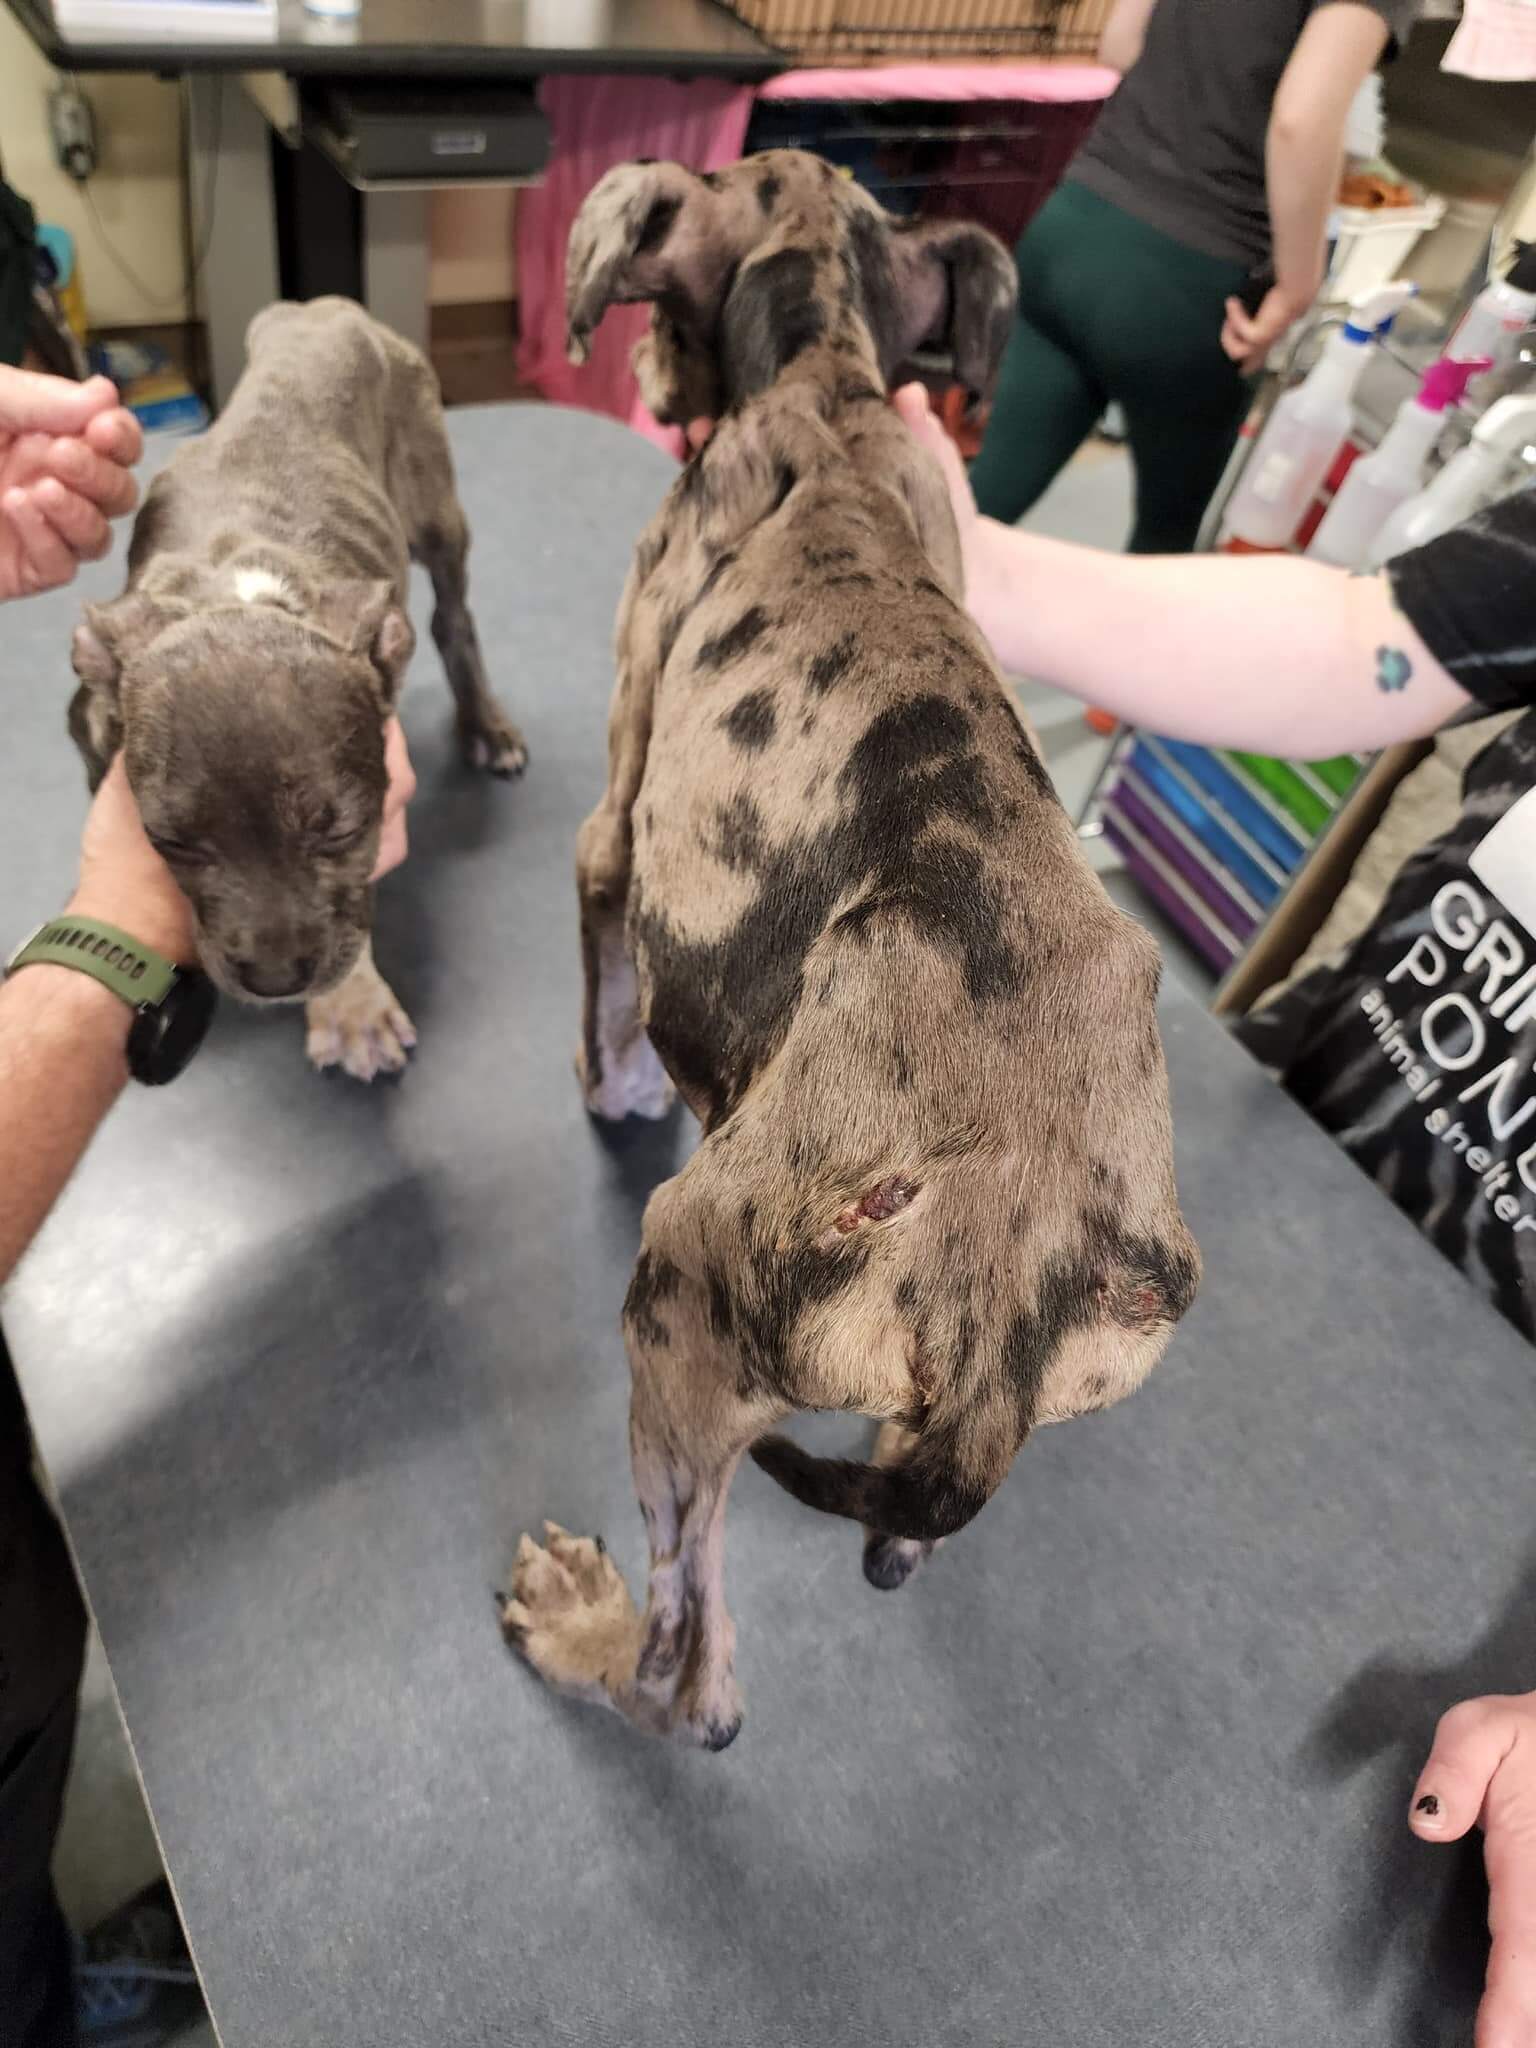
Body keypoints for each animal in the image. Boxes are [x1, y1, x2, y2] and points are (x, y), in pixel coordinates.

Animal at [67, 296, 526, 1081]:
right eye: (170, 840)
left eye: (342, 830)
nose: (276, 980)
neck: (237, 590)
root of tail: (319, 308)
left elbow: (349, 907)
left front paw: (351, 1005)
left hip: (436, 505)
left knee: (454, 617)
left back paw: (485, 726)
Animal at [502, 152, 1200, 1749]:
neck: (823, 359)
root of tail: (1026, 1253)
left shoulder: (613, 825)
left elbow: (608, 1003)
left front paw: (619, 1085)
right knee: (900, 1525)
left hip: (679, 1312)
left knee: (690, 1671)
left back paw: (586, 1636)